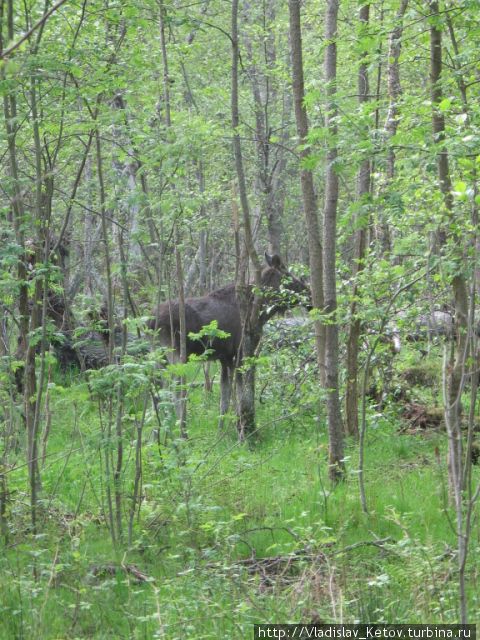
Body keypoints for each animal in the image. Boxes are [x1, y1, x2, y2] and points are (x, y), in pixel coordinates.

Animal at [148, 252, 310, 438]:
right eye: (288, 276)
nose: (309, 294)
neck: (261, 308)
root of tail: (149, 322)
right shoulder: (240, 353)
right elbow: (241, 394)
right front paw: (242, 428)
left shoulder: (225, 358)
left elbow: (224, 399)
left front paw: (221, 432)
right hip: (174, 353)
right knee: (175, 388)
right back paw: (181, 433)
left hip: (157, 355)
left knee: (155, 389)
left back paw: (155, 436)